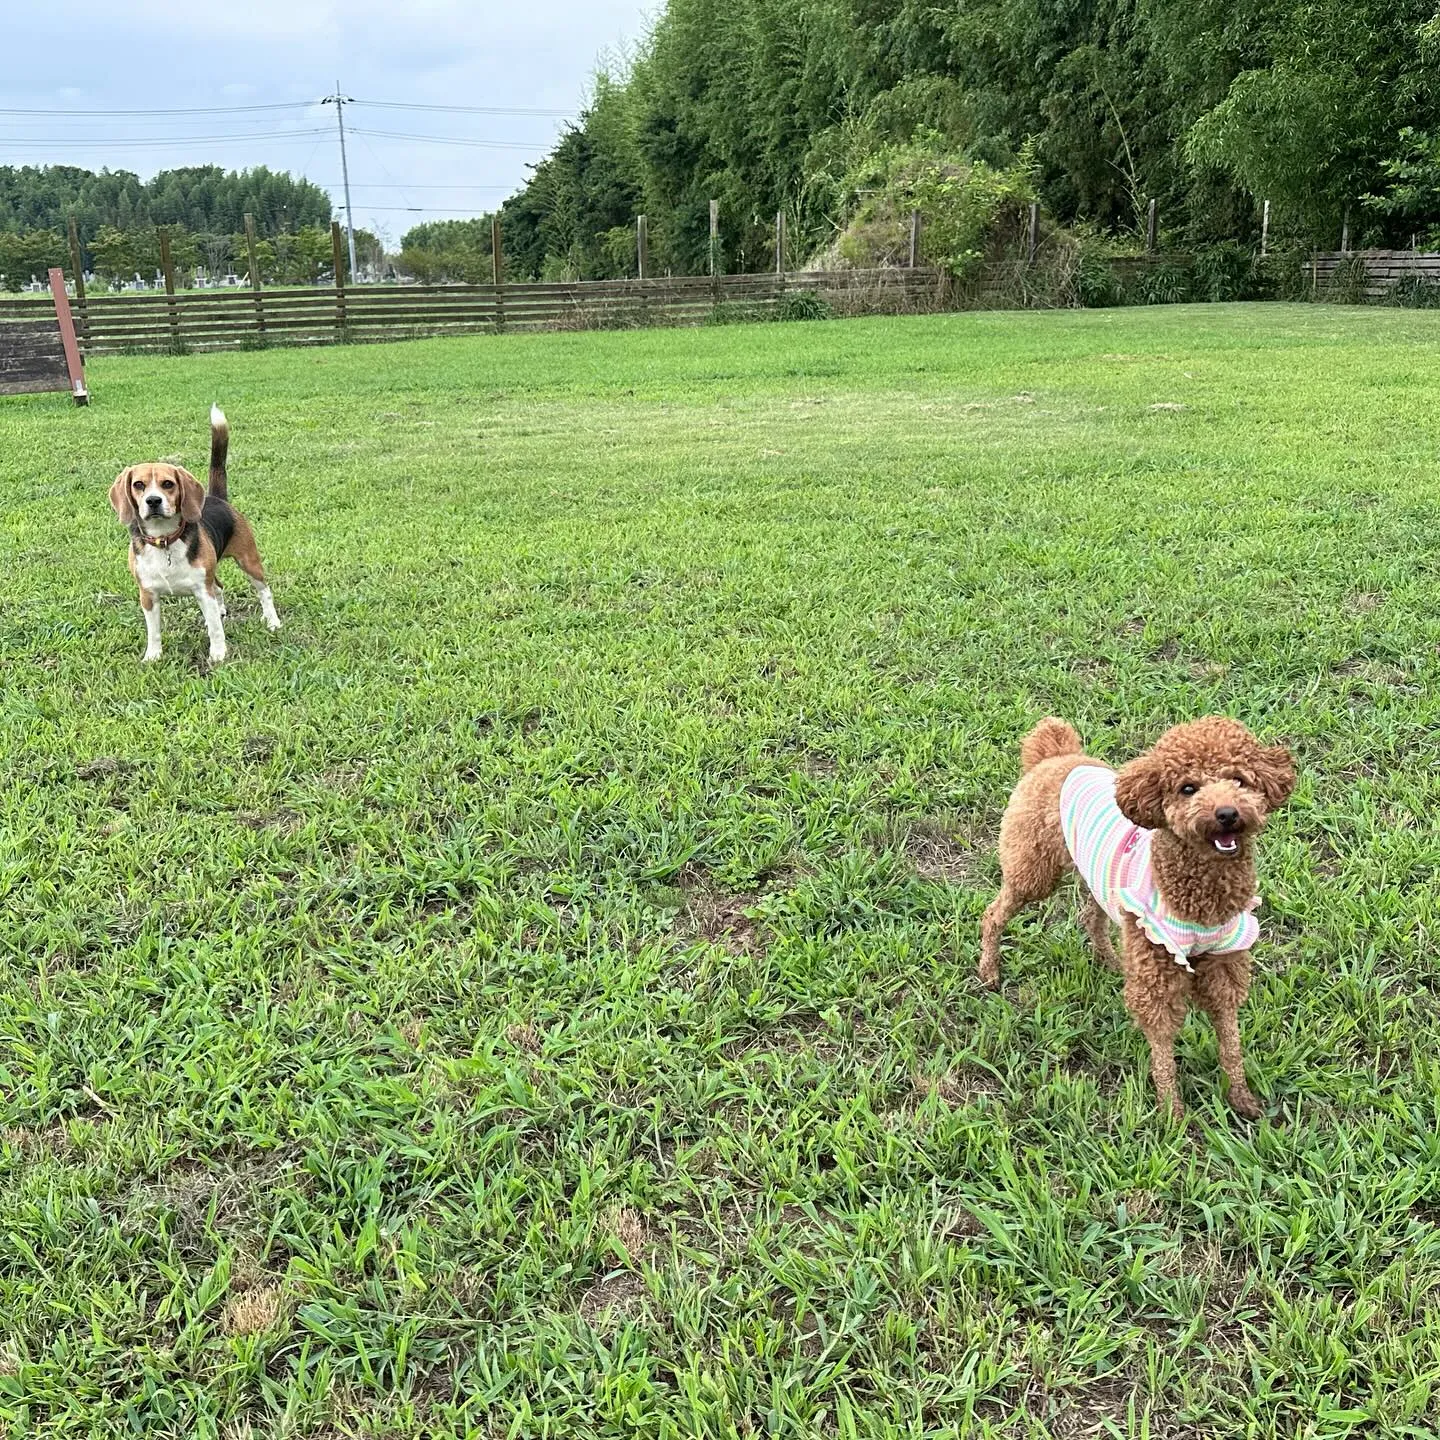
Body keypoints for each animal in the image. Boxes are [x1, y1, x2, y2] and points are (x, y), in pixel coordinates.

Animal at [109, 406, 280, 662]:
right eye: (138, 485)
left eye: (168, 484)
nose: (153, 501)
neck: (164, 540)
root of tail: (216, 497)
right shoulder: (148, 595)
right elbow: (153, 632)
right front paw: (153, 656)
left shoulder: (202, 591)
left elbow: (216, 630)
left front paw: (218, 654)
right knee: (219, 587)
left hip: (249, 561)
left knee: (264, 592)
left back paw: (272, 621)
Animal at [979, 714, 1296, 1117]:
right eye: (1188, 788)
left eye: (1240, 780)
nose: (1227, 814)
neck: (1200, 892)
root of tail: (1057, 756)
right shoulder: (1156, 960)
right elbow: (1161, 1039)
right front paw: (1172, 1112)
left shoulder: (1225, 958)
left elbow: (1229, 1032)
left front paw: (1240, 1096)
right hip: (1033, 868)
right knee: (994, 913)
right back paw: (989, 970)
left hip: (1097, 879)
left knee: (1091, 917)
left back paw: (1111, 961)